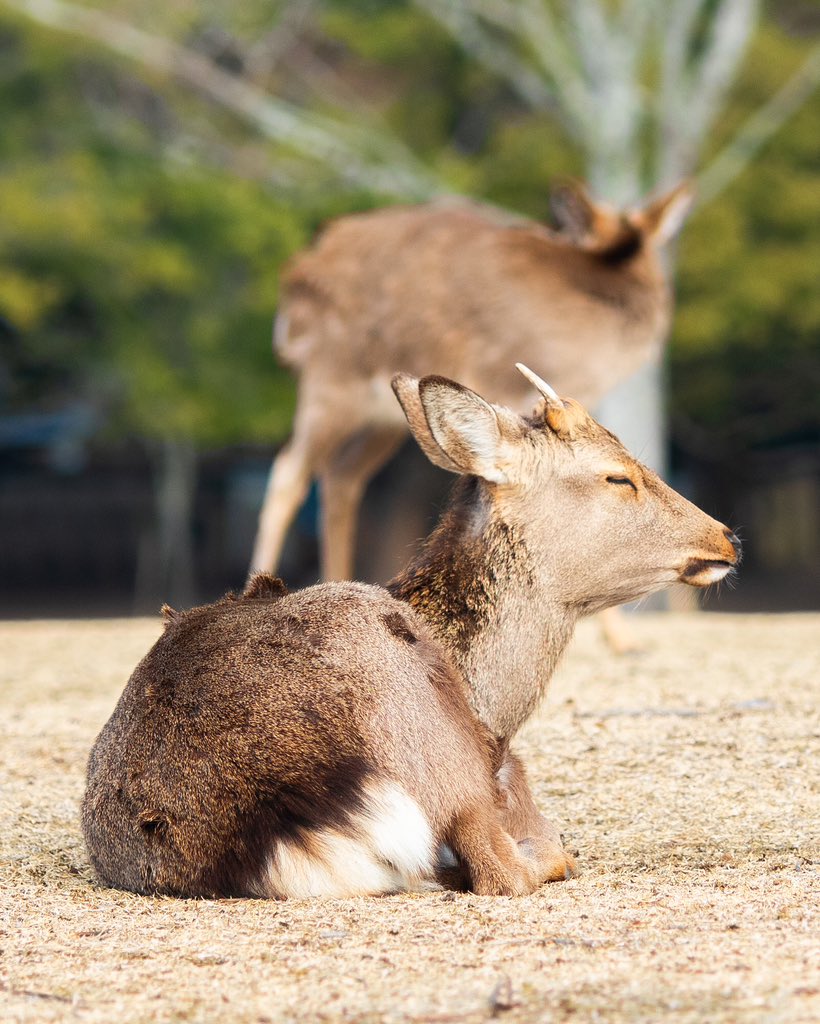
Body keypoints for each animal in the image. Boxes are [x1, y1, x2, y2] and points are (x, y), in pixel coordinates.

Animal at [82, 365, 740, 899]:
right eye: (617, 477)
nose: (727, 538)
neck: (492, 700)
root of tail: (268, 824)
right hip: (435, 745)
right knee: (500, 870)